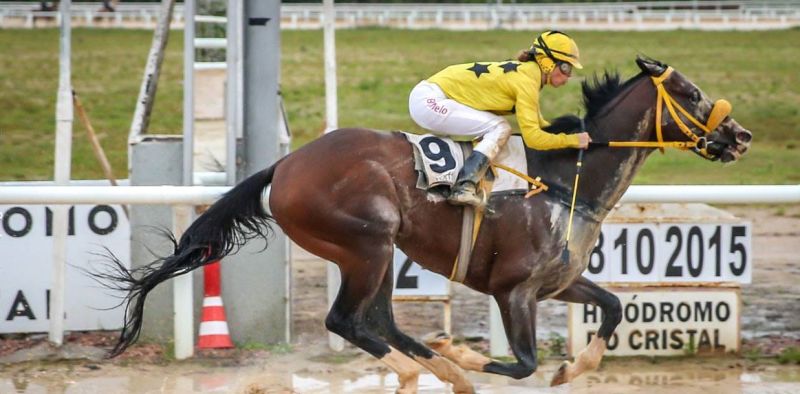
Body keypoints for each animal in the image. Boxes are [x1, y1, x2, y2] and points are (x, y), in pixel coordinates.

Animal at [101, 57, 752, 390]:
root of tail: (284, 164)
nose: (740, 135)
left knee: (380, 320)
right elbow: (522, 362)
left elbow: (613, 309)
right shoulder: (513, 290)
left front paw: (573, 367)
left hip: (377, 252)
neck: (569, 184)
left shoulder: (558, 283)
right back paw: (428, 366)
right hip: (367, 241)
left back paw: (433, 366)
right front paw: (466, 354)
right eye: (691, 92)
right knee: (348, 321)